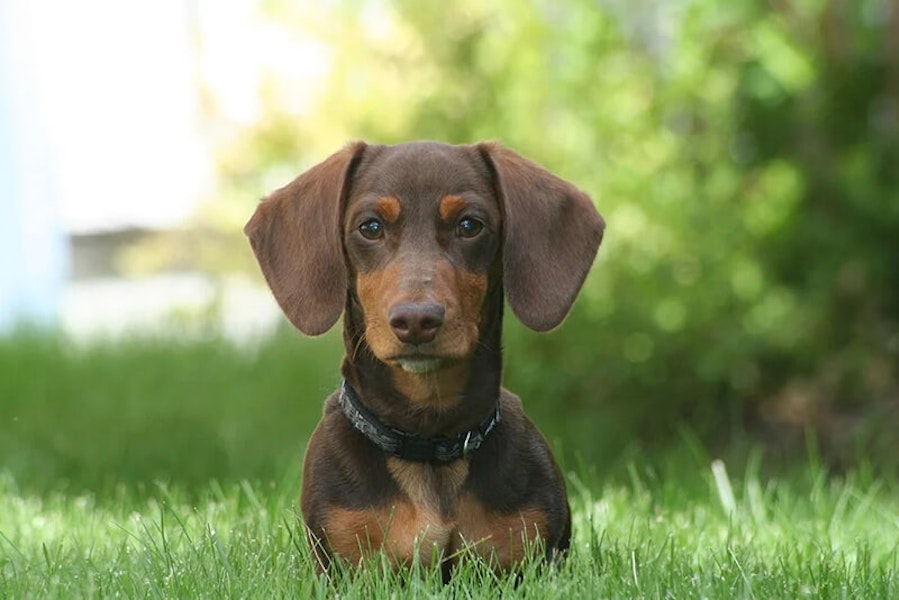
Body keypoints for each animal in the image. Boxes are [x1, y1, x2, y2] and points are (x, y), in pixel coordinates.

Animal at [246, 141, 604, 576]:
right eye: (370, 227)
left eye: (469, 225)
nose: (416, 321)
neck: (429, 441)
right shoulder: (345, 563)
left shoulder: (528, 562)